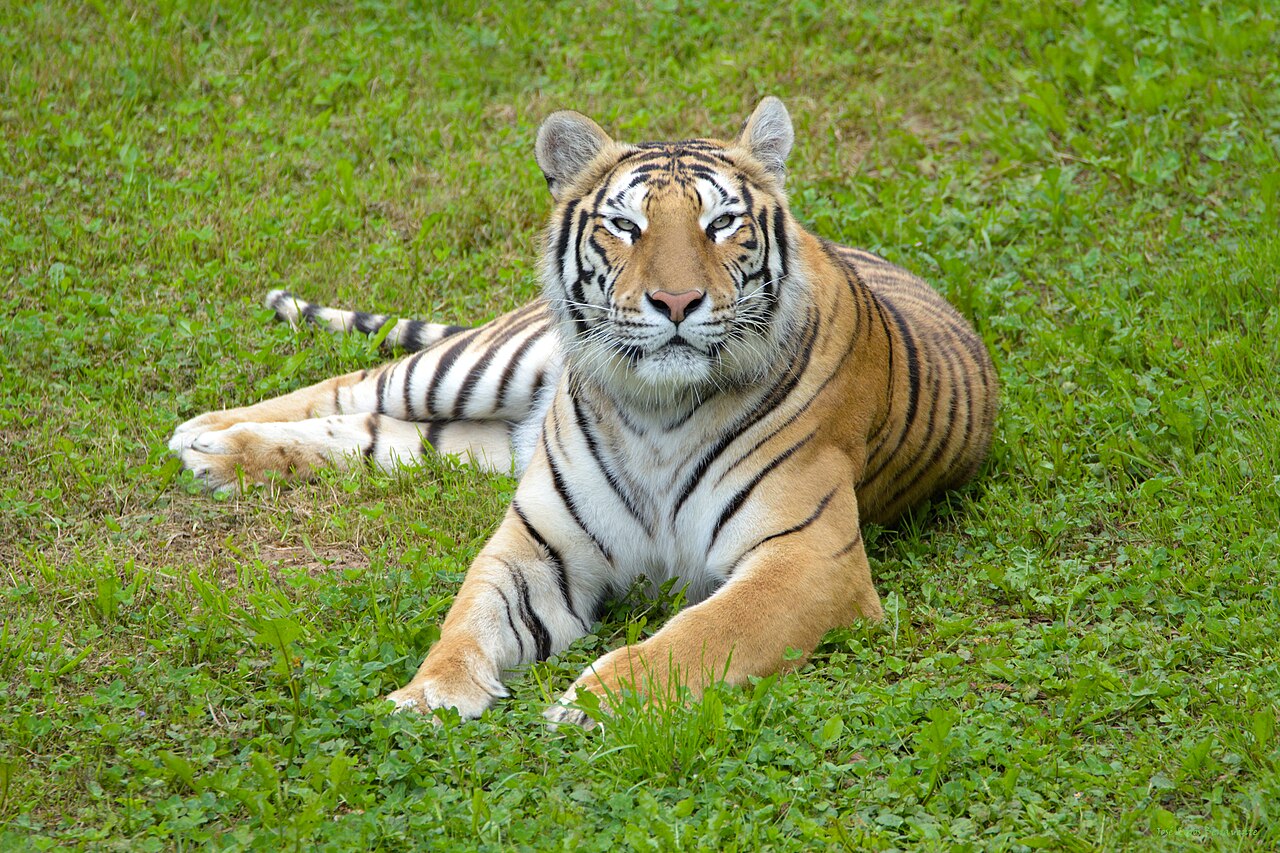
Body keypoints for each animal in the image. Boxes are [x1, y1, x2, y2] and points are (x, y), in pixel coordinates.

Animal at [168, 98, 998, 727]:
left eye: (721, 224)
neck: (658, 411)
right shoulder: (539, 546)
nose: (675, 301)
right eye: (626, 226)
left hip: (467, 437)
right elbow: (467, 620)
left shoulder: (809, 557)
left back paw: (218, 455)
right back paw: (204, 433)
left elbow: (706, 630)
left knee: (372, 431)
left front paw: (598, 698)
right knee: (353, 385)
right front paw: (428, 693)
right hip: (467, 370)